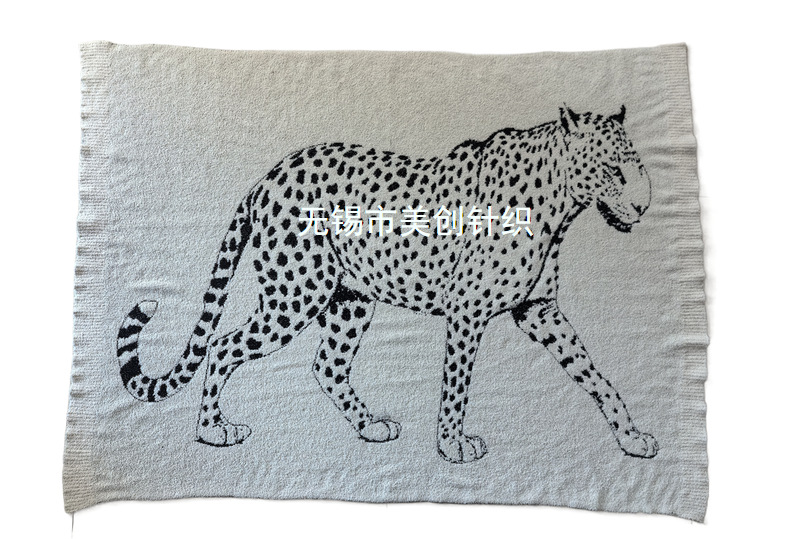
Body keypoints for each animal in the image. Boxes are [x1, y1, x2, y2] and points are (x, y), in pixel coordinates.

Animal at [116, 105, 658, 463]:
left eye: (639, 166)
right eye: (614, 169)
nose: (643, 206)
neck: (560, 205)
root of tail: (268, 177)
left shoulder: (540, 310)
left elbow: (593, 374)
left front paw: (631, 437)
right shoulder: (467, 312)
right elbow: (456, 385)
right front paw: (453, 445)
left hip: (349, 299)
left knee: (327, 365)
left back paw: (369, 425)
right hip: (296, 295)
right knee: (224, 345)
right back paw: (213, 431)